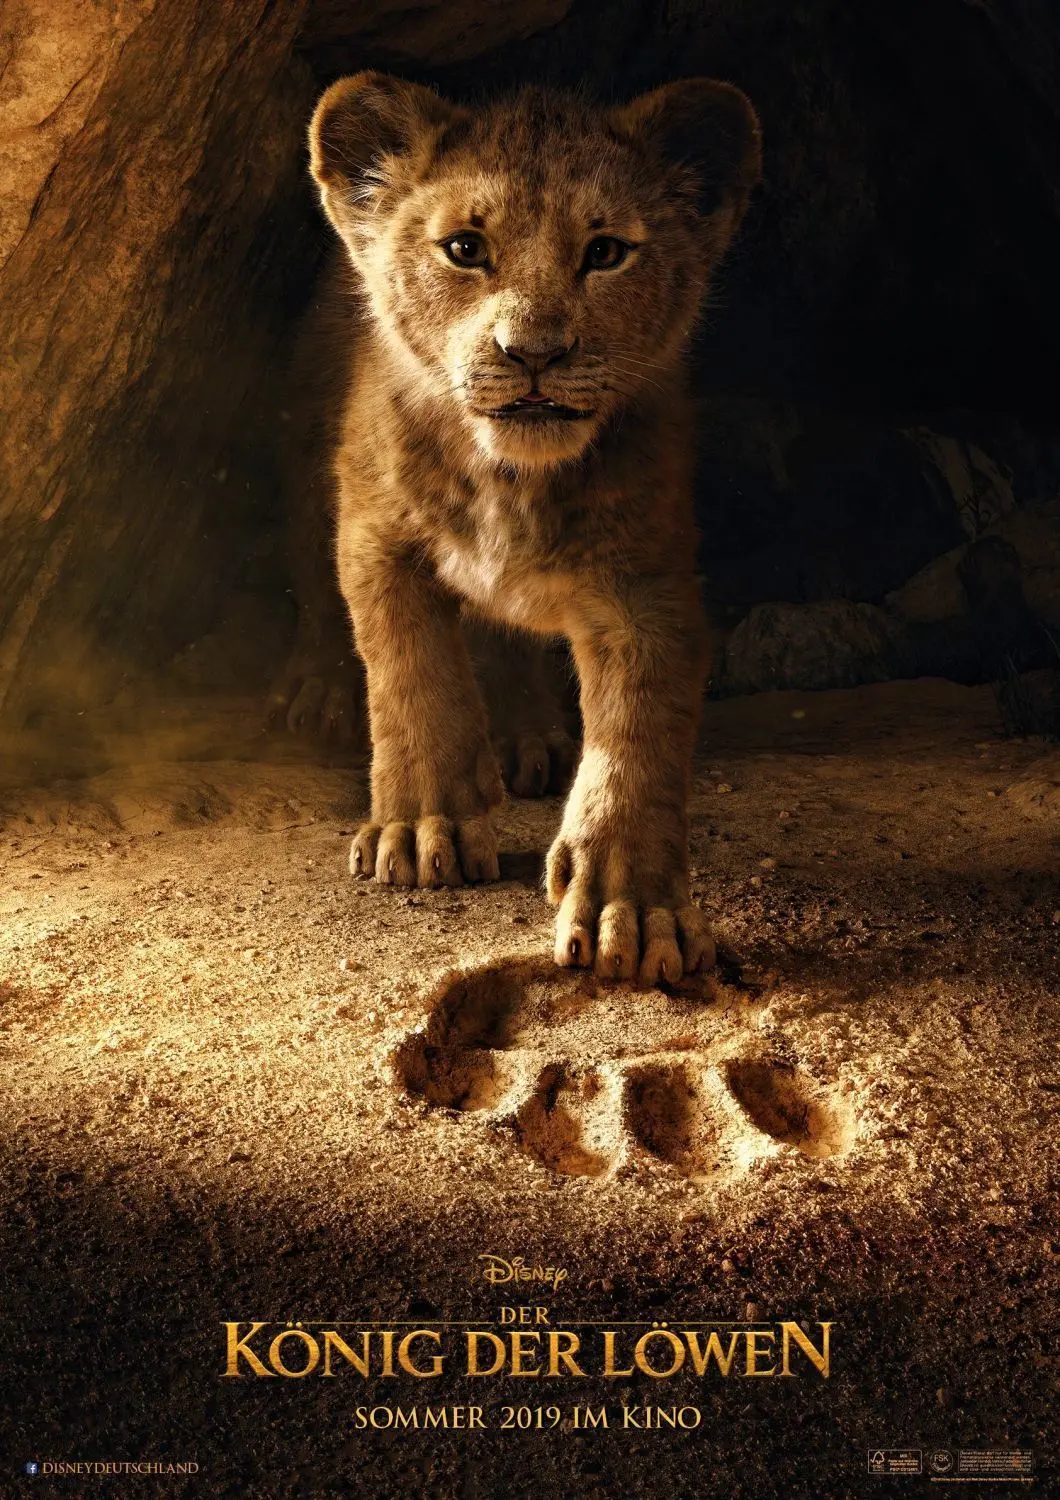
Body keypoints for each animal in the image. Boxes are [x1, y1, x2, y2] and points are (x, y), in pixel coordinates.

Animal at [296, 71, 761, 985]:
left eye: (606, 252)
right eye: (464, 248)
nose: (534, 353)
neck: (510, 478)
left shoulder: (647, 586)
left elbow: (637, 739)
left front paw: (633, 907)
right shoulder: (375, 538)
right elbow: (412, 677)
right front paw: (423, 827)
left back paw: (524, 739)